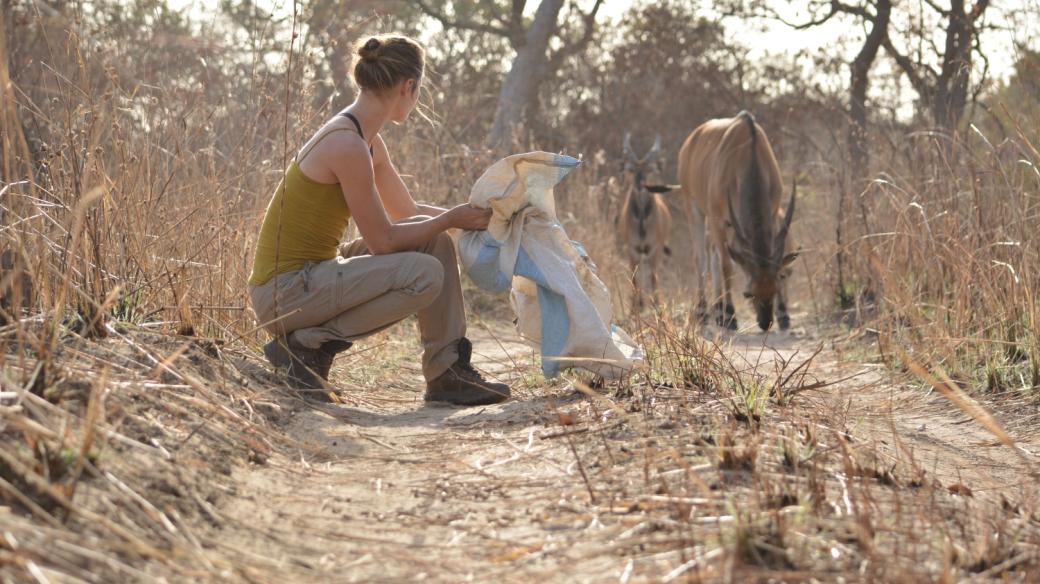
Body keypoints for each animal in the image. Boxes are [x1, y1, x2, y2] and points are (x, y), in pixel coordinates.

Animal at [615, 134, 673, 309]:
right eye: (632, 170)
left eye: (649, 169)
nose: (640, 185)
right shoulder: (633, 248)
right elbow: (634, 278)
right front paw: (637, 306)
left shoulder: (654, 248)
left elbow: (654, 277)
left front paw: (657, 305)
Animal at [678, 111, 798, 330]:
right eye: (748, 293)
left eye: (775, 288)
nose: (765, 322)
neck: (749, 156)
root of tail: (691, 141)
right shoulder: (718, 219)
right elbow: (727, 265)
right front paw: (730, 315)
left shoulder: (772, 214)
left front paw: (783, 314)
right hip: (694, 207)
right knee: (702, 258)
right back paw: (705, 313)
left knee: (714, 254)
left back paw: (718, 312)